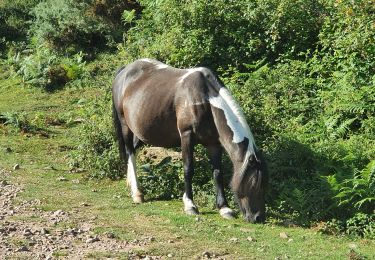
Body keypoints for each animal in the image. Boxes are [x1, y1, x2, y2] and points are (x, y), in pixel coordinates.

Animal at [111, 58, 268, 223]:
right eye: (255, 183)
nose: (258, 217)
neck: (204, 100)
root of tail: (125, 70)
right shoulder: (187, 137)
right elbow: (188, 169)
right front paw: (190, 205)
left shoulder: (214, 144)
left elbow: (218, 173)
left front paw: (224, 208)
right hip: (125, 125)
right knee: (130, 152)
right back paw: (137, 193)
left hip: (142, 133)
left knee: (133, 152)